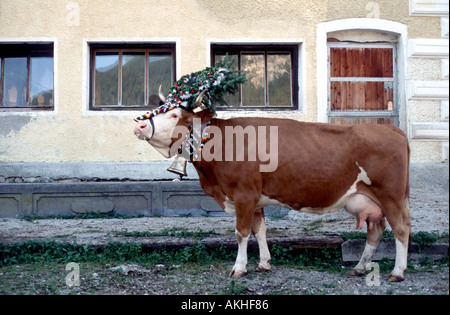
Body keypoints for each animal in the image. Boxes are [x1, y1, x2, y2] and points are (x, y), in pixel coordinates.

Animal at [134, 105, 412, 282]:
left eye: (174, 114)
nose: (139, 123)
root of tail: (391, 129)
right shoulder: (255, 199)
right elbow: (260, 231)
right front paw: (263, 263)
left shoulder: (243, 194)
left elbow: (241, 233)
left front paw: (239, 268)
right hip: (370, 200)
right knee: (376, 229)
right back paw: (360, 268)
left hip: (391, 195)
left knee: (401, 229)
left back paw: (397, 272)